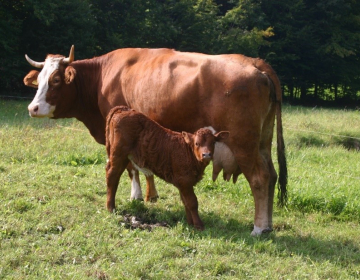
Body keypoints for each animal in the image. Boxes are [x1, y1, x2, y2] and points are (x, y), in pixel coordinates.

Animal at [23, 45, 286, 236]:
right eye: (39, 80)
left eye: (56, 80)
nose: (32, 108)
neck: (102, 76)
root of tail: (255, 62)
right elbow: (142, 167)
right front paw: (151, 195)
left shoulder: (121, 138)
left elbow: (130, 168)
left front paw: (137, 196)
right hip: (263, 142)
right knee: (272, 175)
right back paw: (269, 224)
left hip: (243, 144)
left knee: (260, 178)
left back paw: (259, 227)